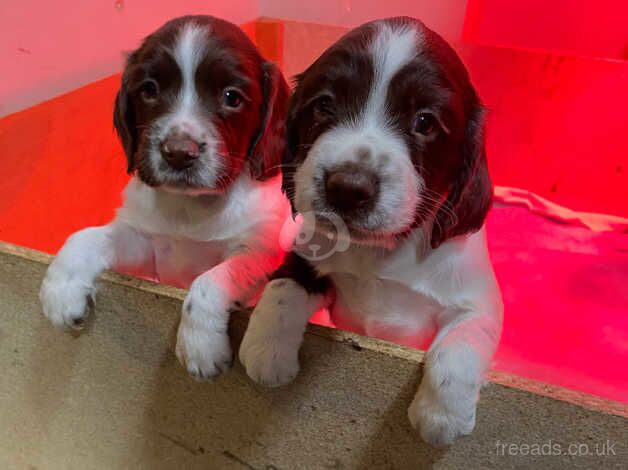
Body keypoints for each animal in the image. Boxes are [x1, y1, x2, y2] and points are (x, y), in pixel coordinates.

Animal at [40, 14, 290, 380]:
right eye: (149, 90)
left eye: (231, 97)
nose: (179, 154)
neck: (190, 206)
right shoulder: (144, 244)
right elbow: (85, 237)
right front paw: (61, 287)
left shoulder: (257, 251)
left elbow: (209, 280)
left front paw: (200, 346)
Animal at [238, 16, 502, 446]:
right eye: (324, 105)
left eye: (425, 122)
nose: (347, 187)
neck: (380, 251)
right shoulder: (308, 258)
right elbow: (284, 286)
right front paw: (267, 351)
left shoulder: (479, 301)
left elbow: (461, 341)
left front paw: (441, 415)